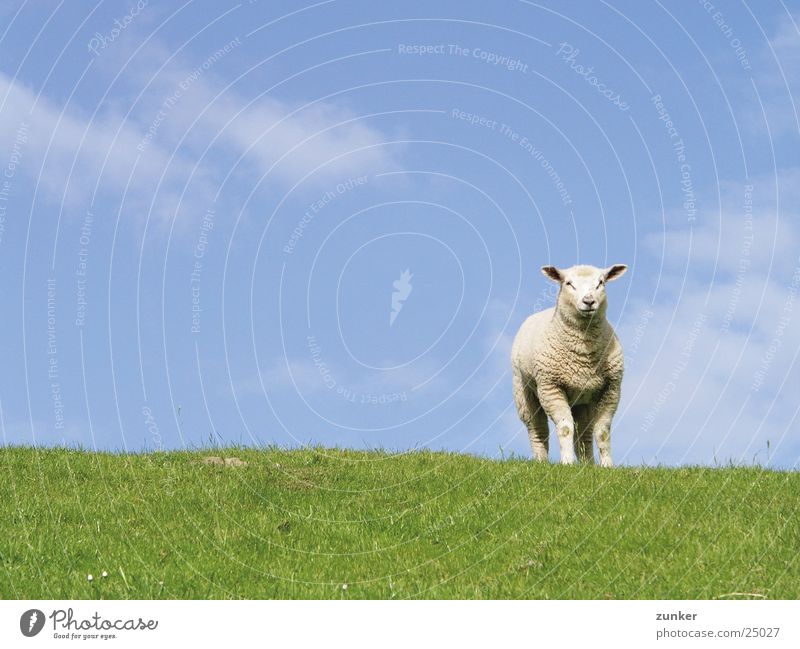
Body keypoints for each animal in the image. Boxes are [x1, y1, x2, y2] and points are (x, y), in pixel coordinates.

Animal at [516, 264, 628, 466]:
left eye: (601, 282)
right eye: (568, 283)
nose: (589, 301)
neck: (583, 355)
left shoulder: (611, 389)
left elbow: (602, 431)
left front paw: (607, 466)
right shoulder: (551, 387)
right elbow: (565, 428)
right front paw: (567, 463)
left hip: (582, 402)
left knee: (584, 433)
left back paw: (588, 464)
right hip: (525, 392)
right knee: (537, 429)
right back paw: (540, 461)